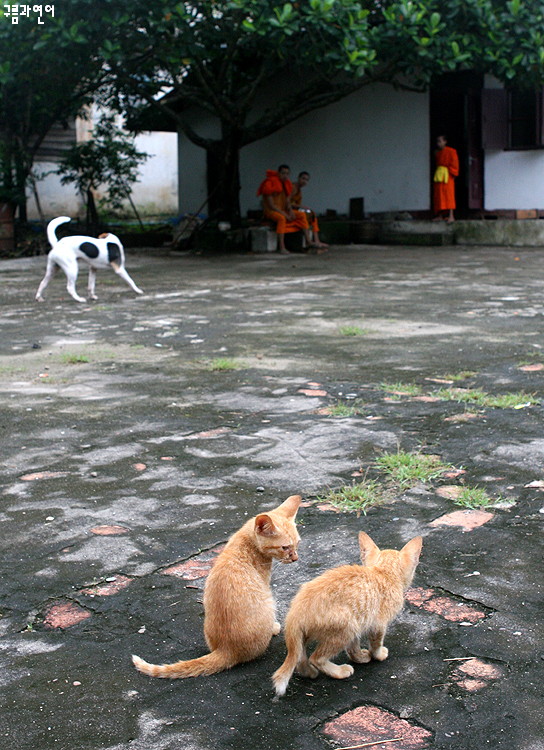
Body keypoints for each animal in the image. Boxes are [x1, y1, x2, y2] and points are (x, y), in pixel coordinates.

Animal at [133, 494, 302, 680]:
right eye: (285, 547)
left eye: (297, 544)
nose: (295, 558)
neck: (245, 542)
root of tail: (225, 650)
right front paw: (274, 627)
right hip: (269, 602)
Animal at [274, 536, 422, 700]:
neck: (383, 573)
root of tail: (295, 612)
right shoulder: (377, 624)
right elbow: (376, 642)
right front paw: (378, 655)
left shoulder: (362, 618)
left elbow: (353, 647)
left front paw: (360, 657)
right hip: (346, 626)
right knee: (316, 658)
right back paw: (338, 672)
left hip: (337, 626)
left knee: (299, 655)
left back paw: (309, 672)